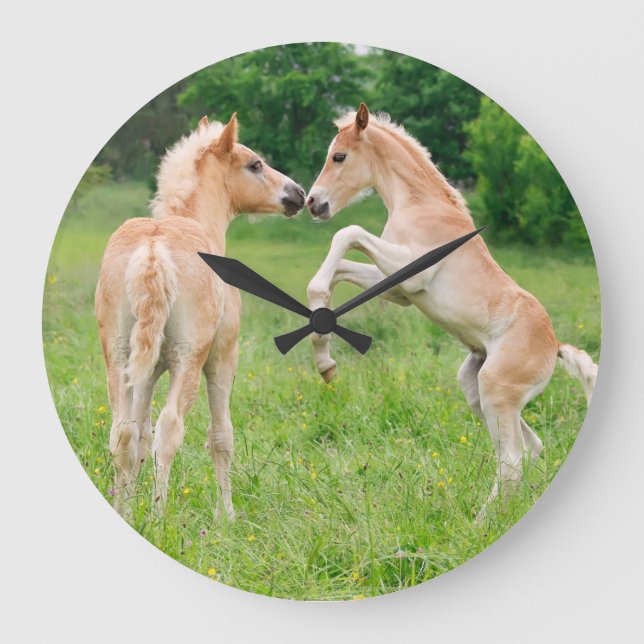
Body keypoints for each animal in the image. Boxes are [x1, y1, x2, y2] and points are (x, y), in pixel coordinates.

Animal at [95, 113, 305, 519]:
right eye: (255, 164)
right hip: (188, 360)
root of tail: (153, 251)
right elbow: (220, 436)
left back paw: (125, 513)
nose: (298, 194)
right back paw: (159, 518)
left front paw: (130, 503)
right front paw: (228, 517)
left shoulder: (148, 372)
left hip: (120, 358)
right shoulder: (222, 357)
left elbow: (138, 436)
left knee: (123, 432)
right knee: (170, 429)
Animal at [305, 103, 597, 516]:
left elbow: (348, 234)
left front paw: (324, 354)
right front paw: (325, 357)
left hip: (496, 392)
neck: (421, 204)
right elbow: (340, 270)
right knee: (529, 449)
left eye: (339, 156)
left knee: (511, 461)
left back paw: (481, 522)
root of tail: (554, 347)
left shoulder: (410, 273)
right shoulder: (398, 288)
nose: (313, 203)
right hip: (476, 387)